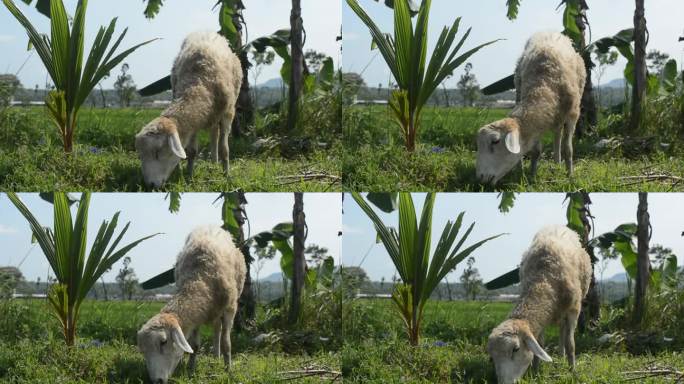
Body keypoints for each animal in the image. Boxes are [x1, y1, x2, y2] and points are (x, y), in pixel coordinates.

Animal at [134, 30, 243, 188]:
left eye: (157, 152)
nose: (150, 185)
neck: (199, 83)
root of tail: (206, 31)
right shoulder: (194, 122)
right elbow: (191, 151)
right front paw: (189, 177)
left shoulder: (228, 114)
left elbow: (225, 149)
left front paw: (227, 176)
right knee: (214, 133)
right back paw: (212, 162)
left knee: (215, 135)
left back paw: (216, 163)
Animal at [136, 225, 246, 384]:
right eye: (143, 351)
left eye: (164, 342)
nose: (157, 381)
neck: (200, 279)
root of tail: (211, 226)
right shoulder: (196, 316)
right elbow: (195, 345)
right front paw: (191, 371)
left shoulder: (229, 309)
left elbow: (227, 343)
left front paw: (228, 371)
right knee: (216, 328)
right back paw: (215, 357)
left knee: (218, 331)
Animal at [476, 31, 588, 184]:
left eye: (495, 141)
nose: (480, 178)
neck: (545, 83)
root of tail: (550, 31)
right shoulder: (538, 121)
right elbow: (536, 151)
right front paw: (532, 176)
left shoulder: (573, 114)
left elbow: (568, 149)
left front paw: (570, 177)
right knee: (557, 132)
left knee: (558, 136)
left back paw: (558, 163)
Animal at [486, 225, 592, 384]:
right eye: (492, 358)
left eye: (515, 349)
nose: (504, 383)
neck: (544, 278)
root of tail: (558, 226)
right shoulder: (542, 318)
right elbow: (540, 344)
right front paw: (535, 373)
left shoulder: (573, 310)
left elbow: (571, 344)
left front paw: (573, 372)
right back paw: (560, 356)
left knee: (563, 333)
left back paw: (563, 357)